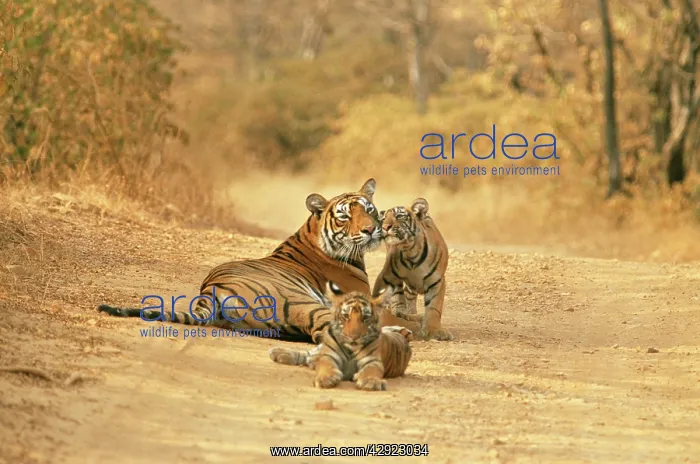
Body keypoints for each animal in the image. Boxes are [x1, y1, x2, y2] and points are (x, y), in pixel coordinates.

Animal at [97, 178, 418, 344]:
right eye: (344, 216)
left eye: (369, 209)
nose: (371, 229)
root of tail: (211, 289)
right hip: (303, 300)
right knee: (326, 328)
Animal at [268, 281, 413, 391]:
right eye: (345, 316)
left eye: (365, 318)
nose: (354, 337)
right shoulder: (329, 356)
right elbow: (326, 366)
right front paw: (326, 378)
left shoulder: (372, 361)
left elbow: (371, 371)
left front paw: (370, 381)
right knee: (309, 353)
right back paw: (280, 353)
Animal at [371, 197, 454, 341]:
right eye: (384, 218)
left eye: (399, 216)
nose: (385, 227)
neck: (411, 251)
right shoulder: (385, 277)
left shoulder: (437, 282)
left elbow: (434, 308)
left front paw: (434, 331)